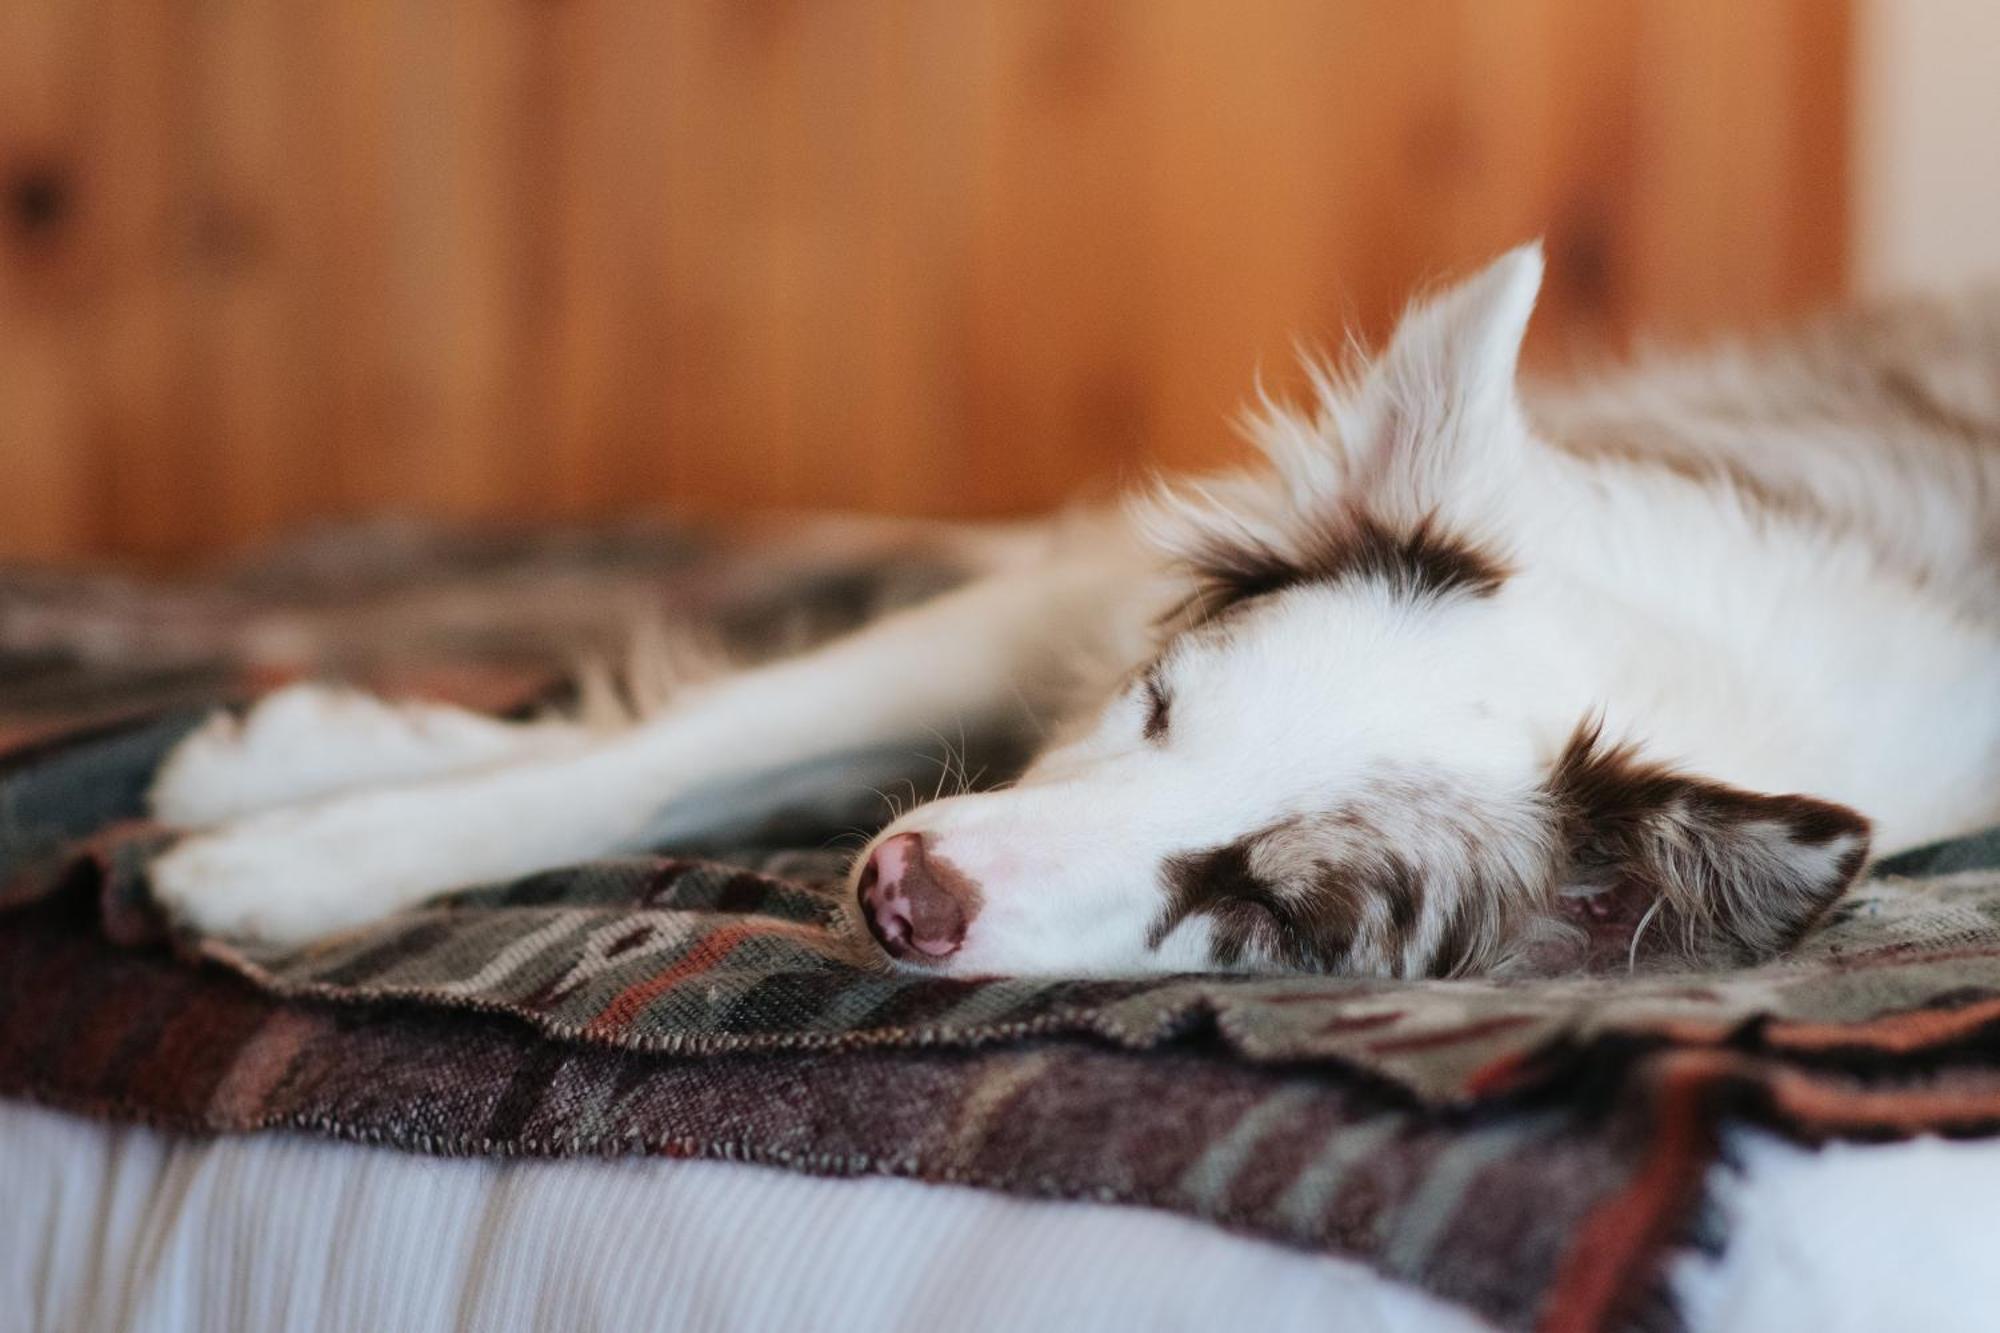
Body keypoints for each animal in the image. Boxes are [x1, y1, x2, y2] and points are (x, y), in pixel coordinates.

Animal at [145, 246, 2000, 976]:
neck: (1660, 651)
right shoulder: (1078, 609)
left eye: (1274, 904)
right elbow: (660, 756)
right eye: (1162, 705)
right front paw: (295, 854)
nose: (899, 890)